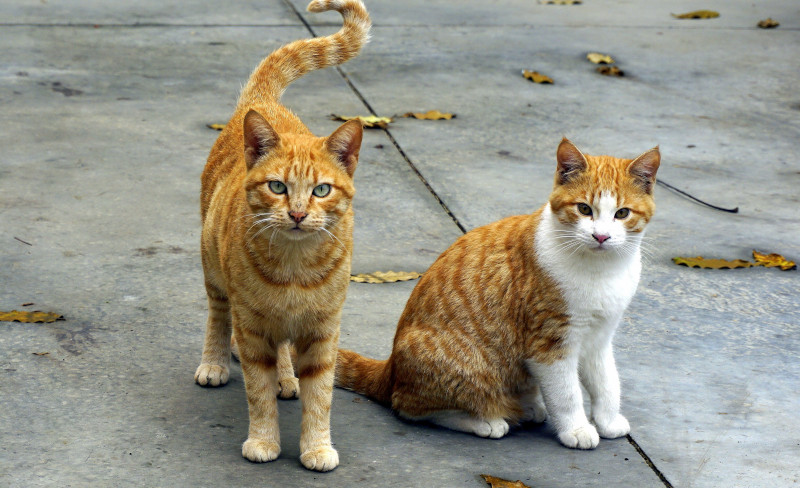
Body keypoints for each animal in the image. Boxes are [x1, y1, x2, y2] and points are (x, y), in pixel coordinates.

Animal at [194, 0, 372, 472]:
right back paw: (215, 361)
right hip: (213, 270)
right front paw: (263, 440)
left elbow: (320, 397)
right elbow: (257, 394)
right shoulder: (253, 327)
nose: (296, 213)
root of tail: (262, 103)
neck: (294, 266)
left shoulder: (324, 331)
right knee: (218, 316)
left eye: (321, 190)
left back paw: (287, 377)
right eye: (277, 186)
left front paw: (316, 446)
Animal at [334, 137, 660, 450]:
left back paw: (527, 407)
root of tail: (389, 370)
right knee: (410, 407)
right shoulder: (550, 344)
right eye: (584, 209)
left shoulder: (599, 339)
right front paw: (577, 429)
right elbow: (567, 395)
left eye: (622, 213)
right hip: (467, 369)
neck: (601, 270)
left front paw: (607, 421)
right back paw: (486, 421)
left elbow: (607, 384)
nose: (601, 236)